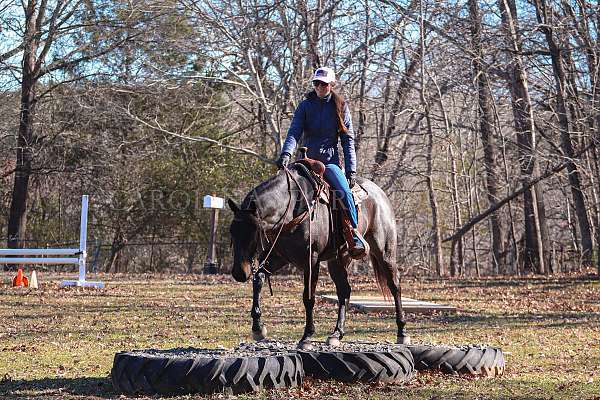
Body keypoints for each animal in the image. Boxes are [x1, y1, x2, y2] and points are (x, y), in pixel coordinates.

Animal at [227, 161, 410, 348]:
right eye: (232, 231)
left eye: (254, 232)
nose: (239, 272)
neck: (292, 209)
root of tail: (380, 195)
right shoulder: (279, 257)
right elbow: (258, 280)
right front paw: (258, 328)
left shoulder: (311, 260)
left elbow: (308, 297)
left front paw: (307, 336)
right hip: (338, 259)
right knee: (344, 290)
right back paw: (336, 334)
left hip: (385, 252)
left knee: (394, 285)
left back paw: (402, 331)